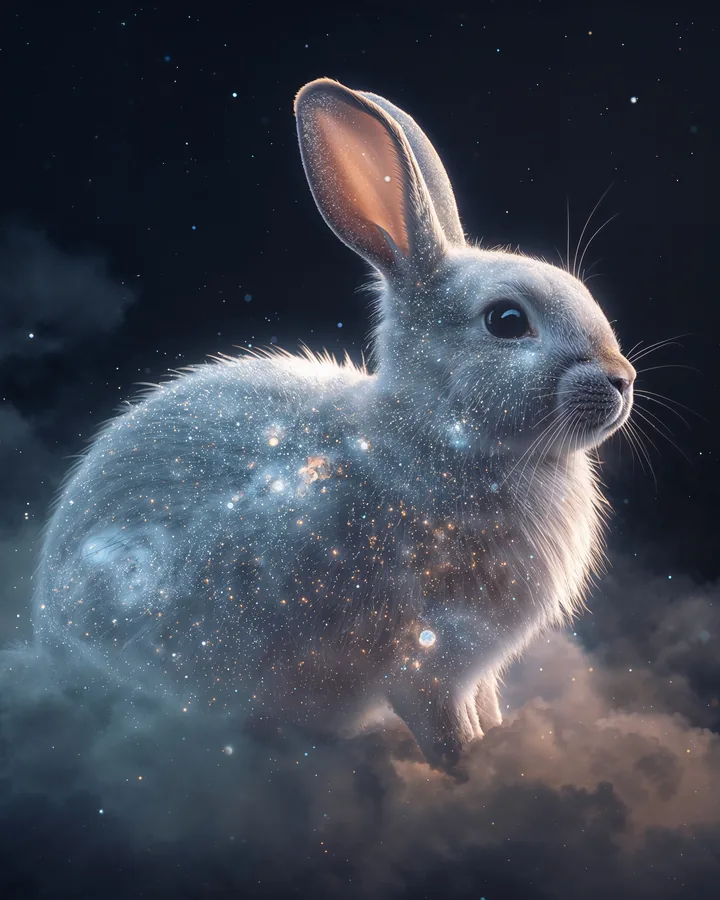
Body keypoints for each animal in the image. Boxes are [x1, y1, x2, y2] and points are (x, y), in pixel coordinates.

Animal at [31, 78, 635, 770]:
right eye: (506, 321)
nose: (622, 380)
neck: (435, 433)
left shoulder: (473, 668)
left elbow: (485, 711)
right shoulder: (426, 661)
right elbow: (446, 729)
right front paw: (464, 775)